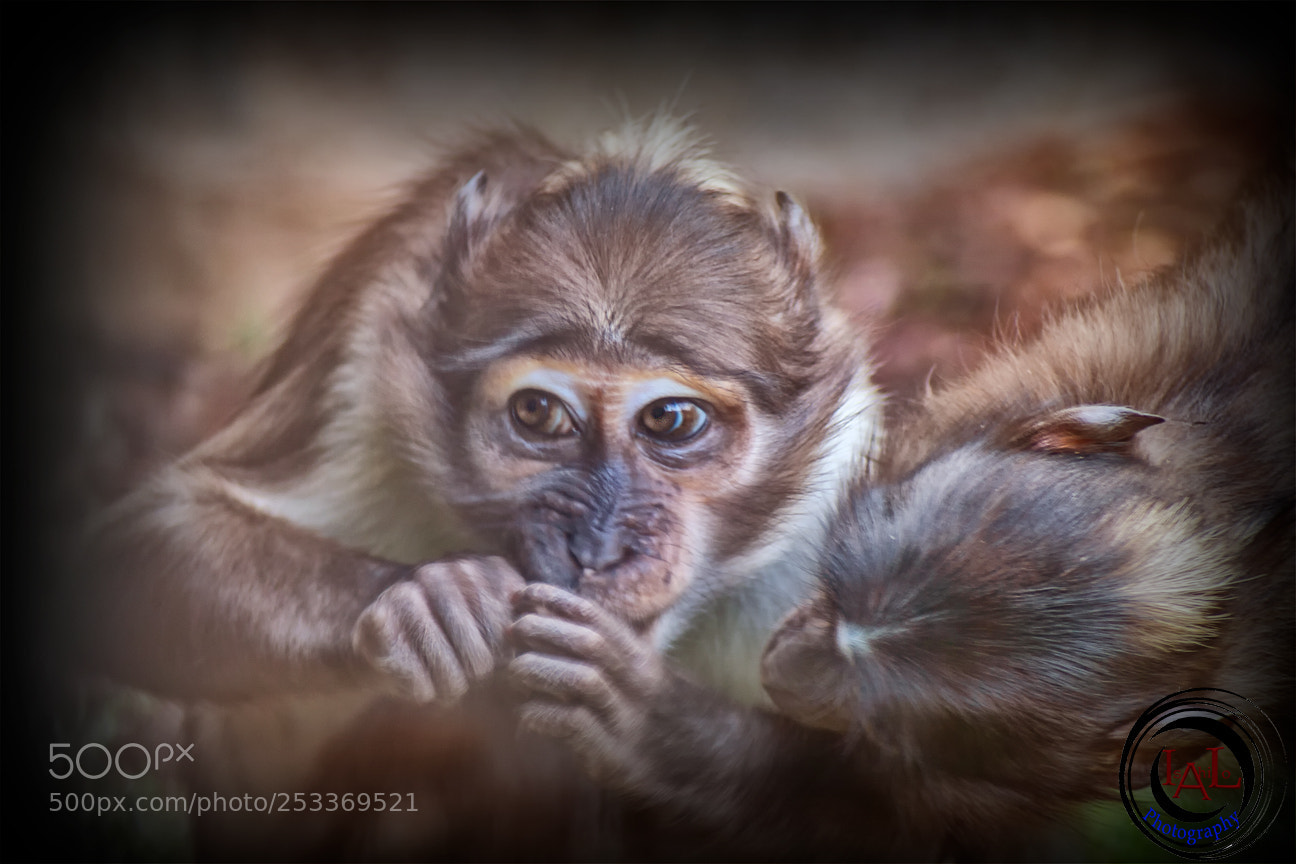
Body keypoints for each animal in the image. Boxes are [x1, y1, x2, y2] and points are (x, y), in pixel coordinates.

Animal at [74, 116, 883, 857]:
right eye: (539, 413)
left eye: (672, 420)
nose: (595, 549)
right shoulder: (370, 350)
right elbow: (145, 548)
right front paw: (431, 602)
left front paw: (665, 729)